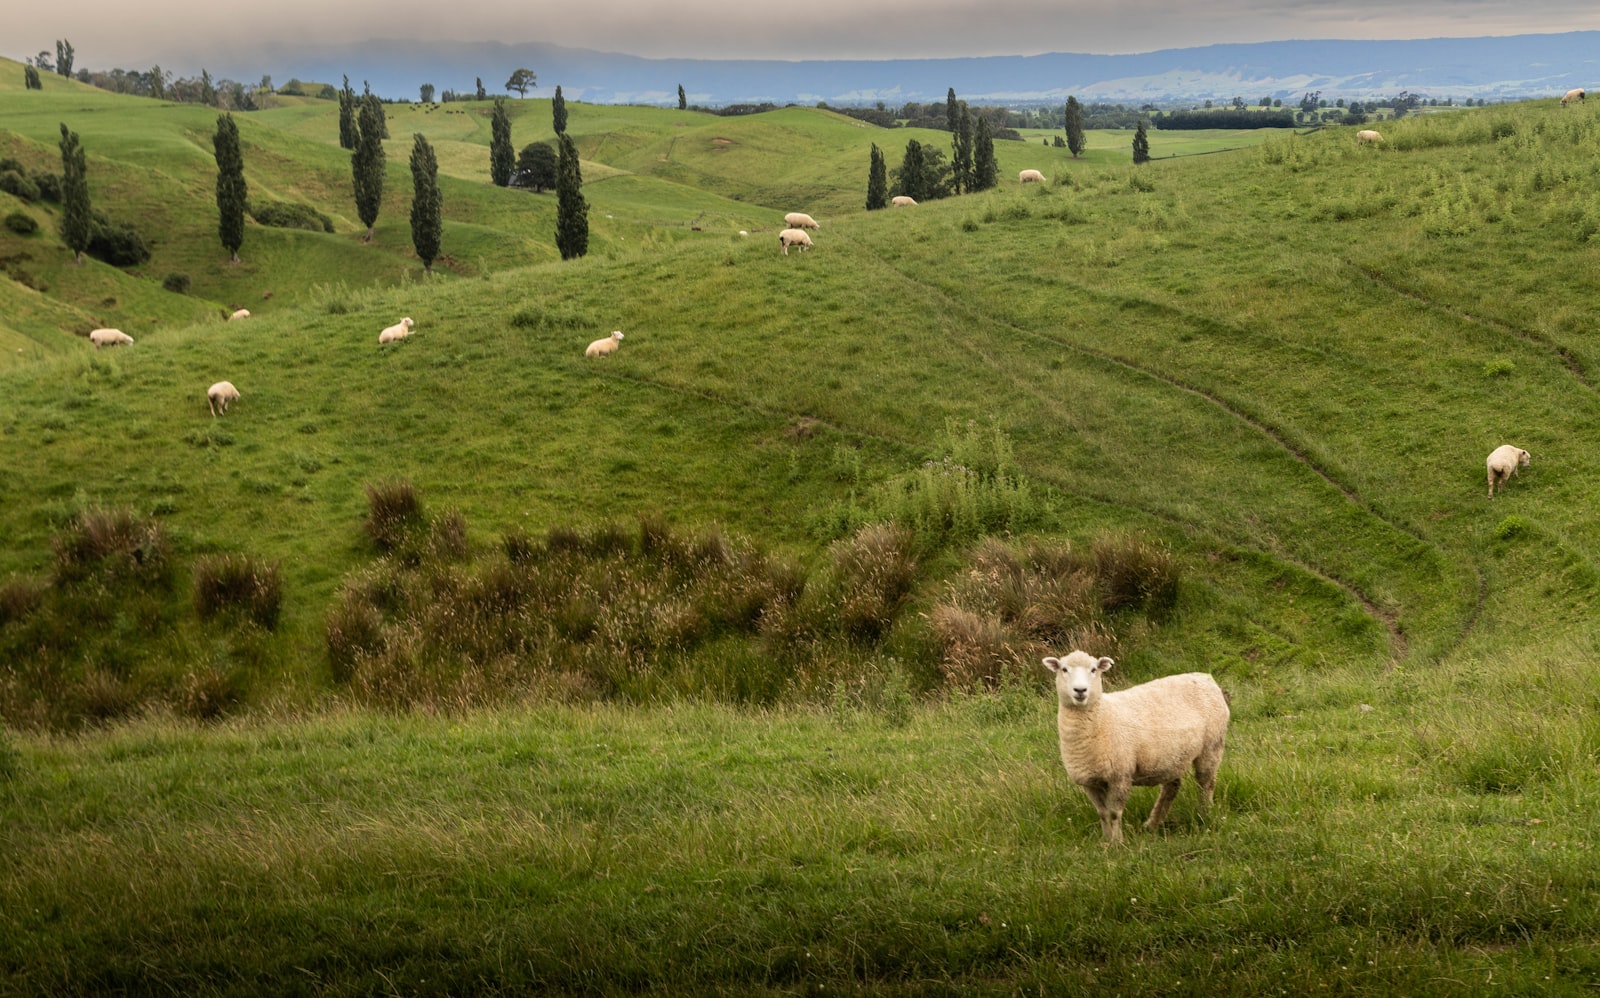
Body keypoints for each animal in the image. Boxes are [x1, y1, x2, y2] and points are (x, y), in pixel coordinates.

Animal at [1043, 651, 1229, 845]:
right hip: (1173, 756)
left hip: (1212, 745)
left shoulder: (1120, 776)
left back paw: (1205, 815)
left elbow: (1113, 813)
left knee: (1206, 783)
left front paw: (1117, 843)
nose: (1080, 690)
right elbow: (1102, 813)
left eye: (1094, 669)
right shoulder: (1090, 781)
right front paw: (1106, 841)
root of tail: (1207, 678)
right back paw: (1152, 824)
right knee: (1172, 787)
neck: (1102, 716)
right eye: (1064, 669)